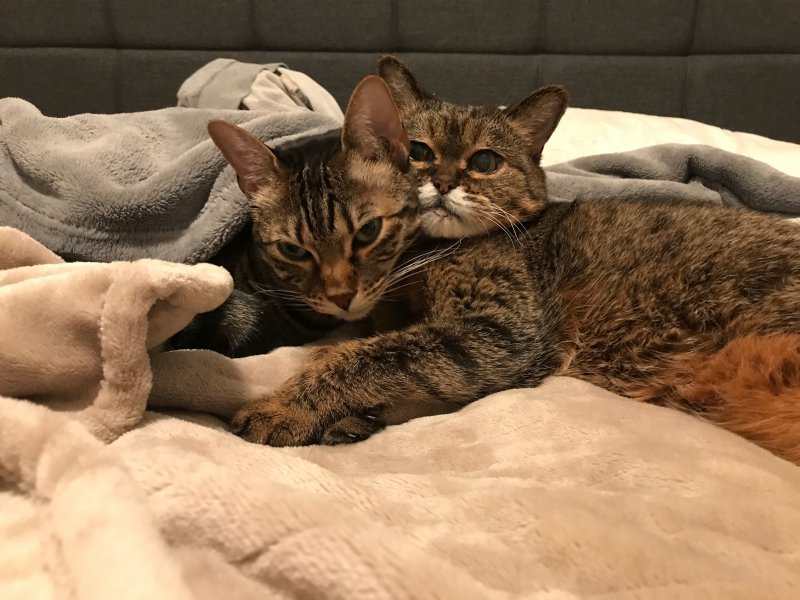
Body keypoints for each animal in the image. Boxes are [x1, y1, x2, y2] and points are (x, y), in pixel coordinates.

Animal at [231, 56, 800, 464]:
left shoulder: (500, 331)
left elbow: (364, 356)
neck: (422, 257)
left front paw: (287, 405)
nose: (443, 181)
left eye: (485, 162)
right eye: (418, 151)